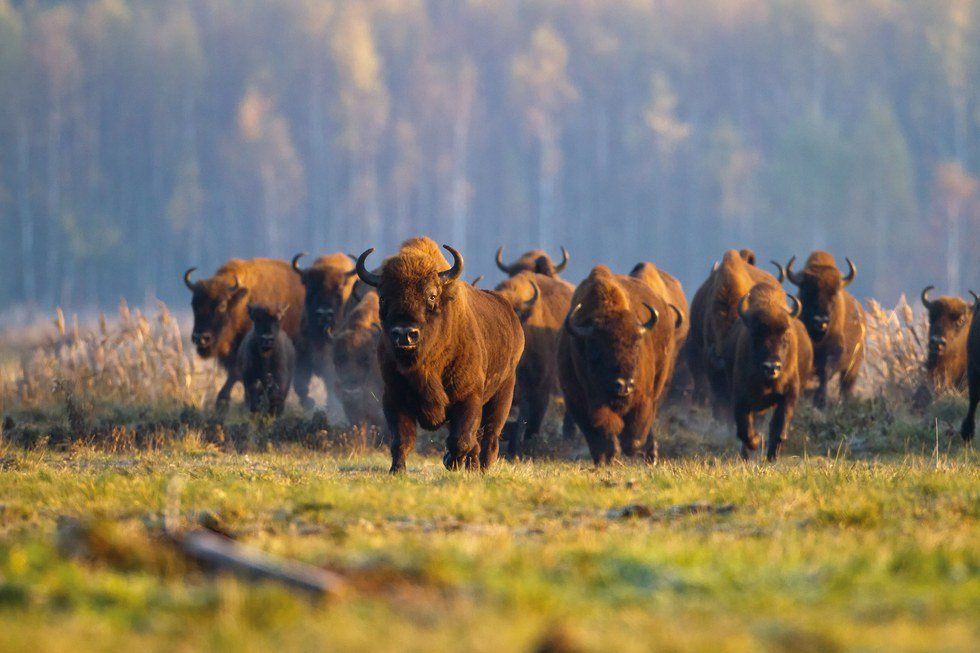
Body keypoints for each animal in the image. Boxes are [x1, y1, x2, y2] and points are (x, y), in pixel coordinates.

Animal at [355, 237, 525, 472]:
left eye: (432, 295)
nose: (405, 334)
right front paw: (397, 470)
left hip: (503, 393)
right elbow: (401, 439)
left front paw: (452, 463)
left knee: (489, 437)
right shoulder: (394, 397)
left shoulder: (468, 397)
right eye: (383, 298)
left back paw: (481, 468)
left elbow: (461, 439)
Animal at [558, 265, 680, 464]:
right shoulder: (578, 400)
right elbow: (597, 431)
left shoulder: (642, 398)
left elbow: (634, 433)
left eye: (636, 344)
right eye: (595, 349)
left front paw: (630, 448)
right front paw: (607, 456)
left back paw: (651, 455)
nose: (623, 385)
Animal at [731, 285, 813, 461]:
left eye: (785, 334)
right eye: (755, 334)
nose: (772, 367)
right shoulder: (740, 397)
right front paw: (755, 441)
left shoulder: (788, 394)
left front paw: (772, 455)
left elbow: (779, 427)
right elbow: (744, 430)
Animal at [779, 251, 866, 406]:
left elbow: (825, 372)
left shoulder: (833, 352)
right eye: (807, 293)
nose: (821, 321)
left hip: (853, 367)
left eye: (833, 295)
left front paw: (820, 400)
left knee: (846, 385)